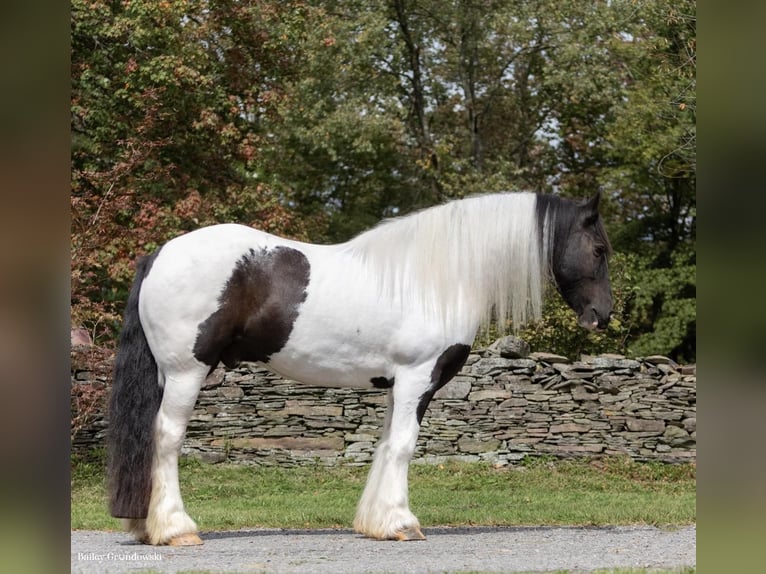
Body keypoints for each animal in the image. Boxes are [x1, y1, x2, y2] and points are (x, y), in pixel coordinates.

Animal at [106, 191, 612, 548]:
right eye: (599, 248)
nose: (601, 316)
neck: (435, 279)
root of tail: (159, 255)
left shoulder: (397, 383)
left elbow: (387, 445)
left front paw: (378, 522)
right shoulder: (418, 377)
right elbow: (405, 447)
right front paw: (402, 522)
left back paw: (146, 526)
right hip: (186, 372)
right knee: (166, 438)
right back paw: (176, 530)